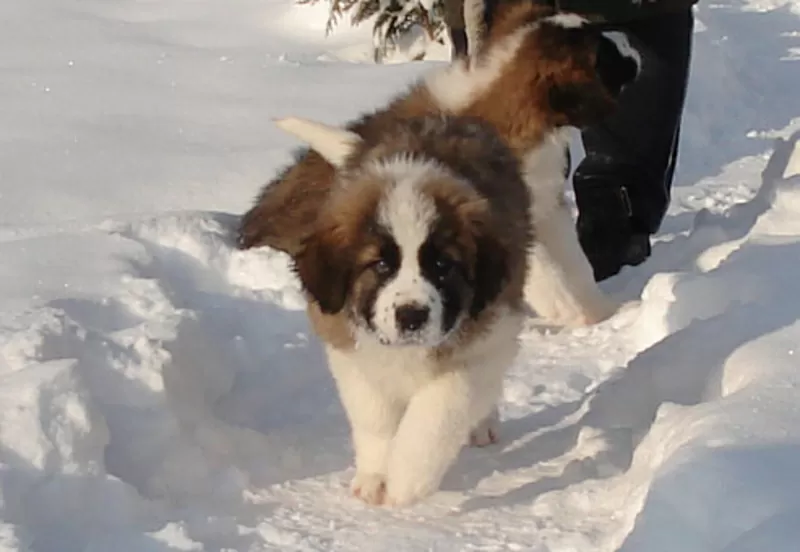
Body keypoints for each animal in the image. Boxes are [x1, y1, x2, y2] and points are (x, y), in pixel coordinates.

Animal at [238, 0, 644, 328]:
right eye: (607, 57)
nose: (636, 46)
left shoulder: (545, 209)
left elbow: (576, 267)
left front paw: (602, 312)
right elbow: (547, 278)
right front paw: (580, 318)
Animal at [284, 114, 536, 506]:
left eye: (443, 265)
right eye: (381, 265)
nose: (412, 316)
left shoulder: (488, 341)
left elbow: (440, 409)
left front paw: (406, 478)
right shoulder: (349, 351)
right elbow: (374, 417)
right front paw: (375, 475)